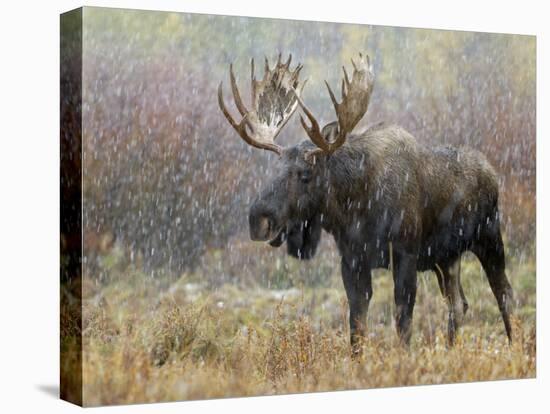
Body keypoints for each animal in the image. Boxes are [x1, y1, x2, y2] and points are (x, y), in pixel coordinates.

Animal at [218, 51, 516, 350]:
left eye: (305, 174)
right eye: (275, 168)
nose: (258, 219)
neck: (355, 208)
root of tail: (492, 172)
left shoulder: (405, 251)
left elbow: (403, 320)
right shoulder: (352, 259)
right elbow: (357, 325)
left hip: (489, 238)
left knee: (505, 294)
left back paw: (516, 345)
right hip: (447, 257)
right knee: (458, 303)